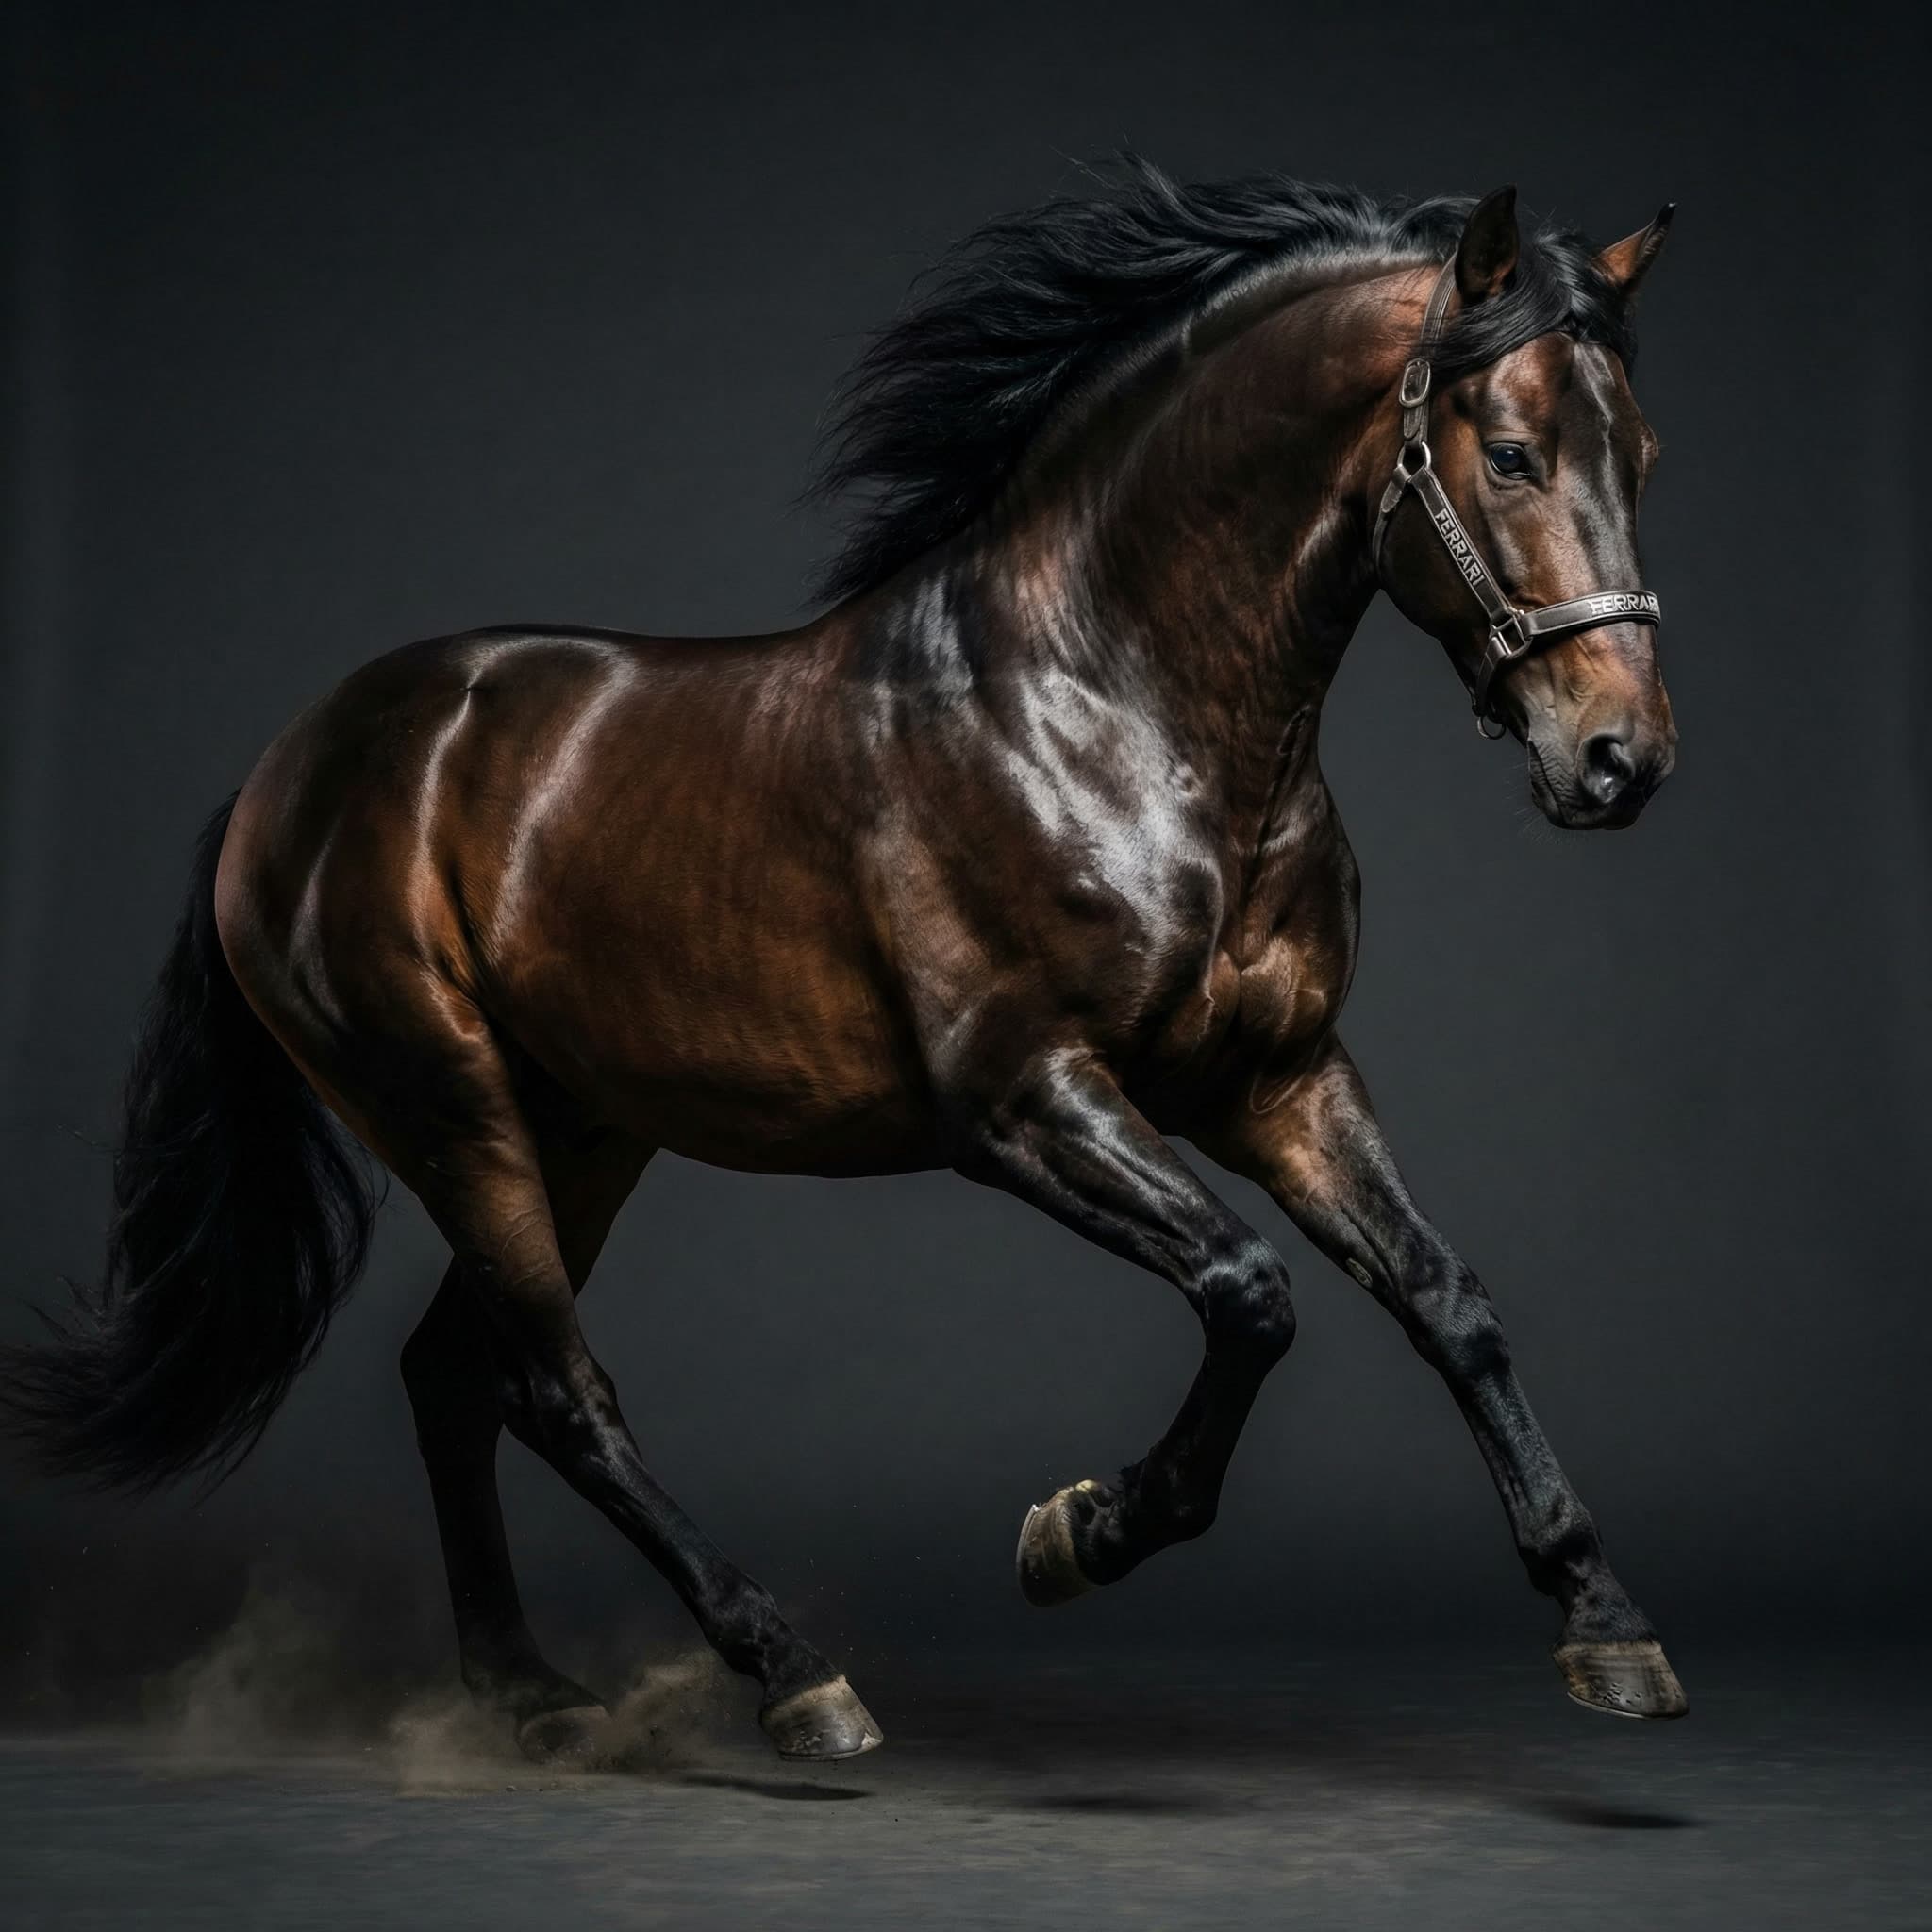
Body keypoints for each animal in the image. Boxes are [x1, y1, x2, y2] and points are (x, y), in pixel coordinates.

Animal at [1, 160, 1685, 1764]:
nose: (1621, 760)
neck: (1114, 711)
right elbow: (1249, 1291)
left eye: (1646, 457)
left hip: (583, 1130)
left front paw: (1606, 1625)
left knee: (453, 1380)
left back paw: (529, 1695)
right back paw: (792, 1675)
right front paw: (1079, 1533)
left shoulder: (1275, 1081)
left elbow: (1449, 1299)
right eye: (1512, 452)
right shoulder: (1023, 1101)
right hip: (449, 1111)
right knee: (557, 1391)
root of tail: (291, 766)